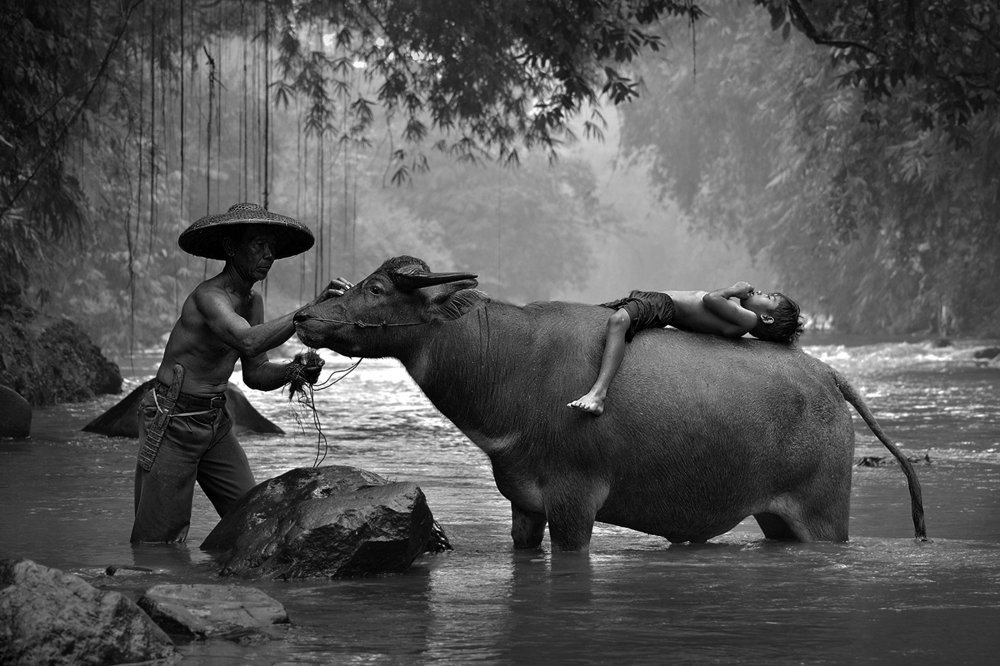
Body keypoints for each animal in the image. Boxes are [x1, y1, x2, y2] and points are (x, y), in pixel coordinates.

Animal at [294, 256, 927, 551]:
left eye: (378, 289)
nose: (304, 315)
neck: (509, 364)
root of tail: (829, 375)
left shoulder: (576, 502)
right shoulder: (524, 504)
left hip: (823, 515)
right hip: (776, 518)